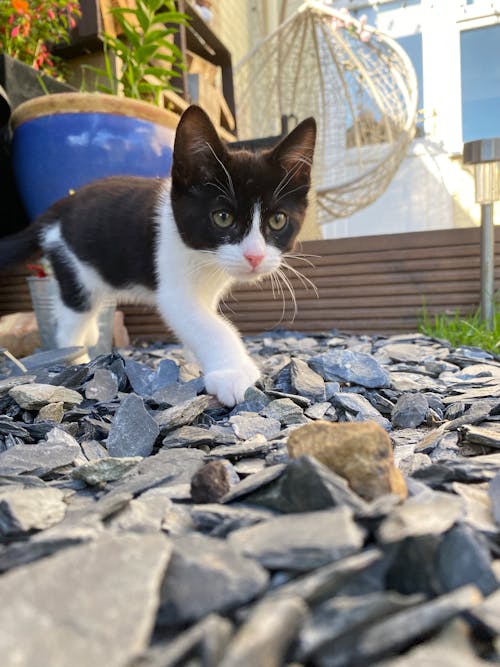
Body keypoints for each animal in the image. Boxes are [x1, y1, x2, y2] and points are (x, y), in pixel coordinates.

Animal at [0, 105, 316, 408]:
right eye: (222, 217)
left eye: (278, 220)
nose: (254, 256)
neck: (205, 260)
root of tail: (63, 204)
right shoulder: (173, 284)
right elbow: (209, 324)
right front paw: (232, 373)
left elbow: (203, 316)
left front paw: (198, 356)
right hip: (75, 269)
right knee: (71, 320)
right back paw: (79, 359)